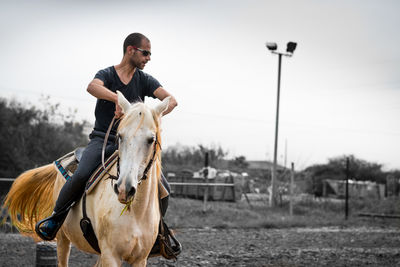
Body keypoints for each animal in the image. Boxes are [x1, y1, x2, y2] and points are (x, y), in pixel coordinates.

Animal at [4, 91, 170, 266]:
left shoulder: (140, 259)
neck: (135, 212)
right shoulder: (111, 255)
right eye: (120, 136)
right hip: (62, 239)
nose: (124, 189)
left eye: (151, 140)